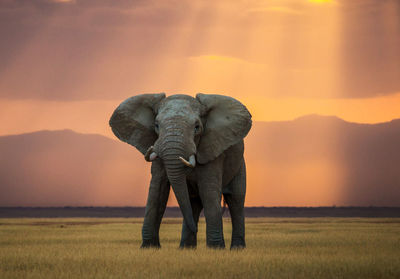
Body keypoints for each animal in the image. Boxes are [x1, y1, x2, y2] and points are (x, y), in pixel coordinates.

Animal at [108, 93, 253, 249]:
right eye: (156, 125)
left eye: (197, 127)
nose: (196, 230)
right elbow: (157, 191)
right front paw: (148, 248)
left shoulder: (212, 152)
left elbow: (208, 191)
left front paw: (216, 249)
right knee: (193, 202)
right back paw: (186, 248)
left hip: (240, 164)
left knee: (235, 199)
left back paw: (237, 249)